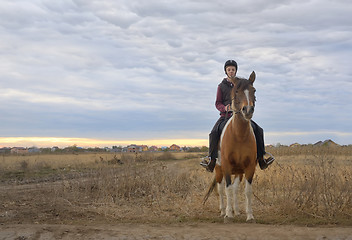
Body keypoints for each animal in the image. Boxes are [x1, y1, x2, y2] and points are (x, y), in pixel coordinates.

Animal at [202, 71, 258, 221]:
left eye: (254, 90)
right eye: (237, 91)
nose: (248, 110)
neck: (239, 135)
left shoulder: (249, 167)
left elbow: (247, 190)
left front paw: (249, 215)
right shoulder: (226, 166)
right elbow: (227, 189)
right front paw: (228, 214)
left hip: (238, 172)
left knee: (235, 189)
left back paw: (236, 210)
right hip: (218, 169)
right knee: (221, 189)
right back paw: (223, 210)